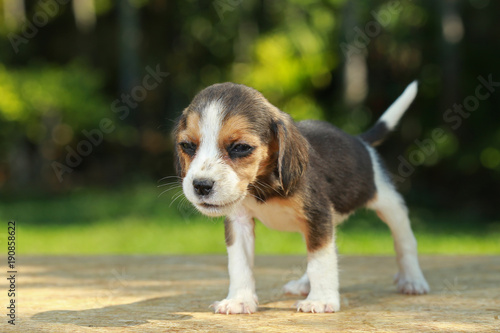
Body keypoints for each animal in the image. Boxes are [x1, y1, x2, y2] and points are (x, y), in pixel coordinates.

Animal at [173, 81, 430, 314]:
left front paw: (321, 300)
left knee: (405, 242)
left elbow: (320, 262)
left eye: (240, 147)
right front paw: (239, 300)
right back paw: (304, 284)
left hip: (389, 205)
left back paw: (412, 280)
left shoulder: (318, 216)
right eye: (187, 145)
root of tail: (359, 141)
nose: (201, 185)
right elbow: (240, 264)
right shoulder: (240, 222)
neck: (262, 184)